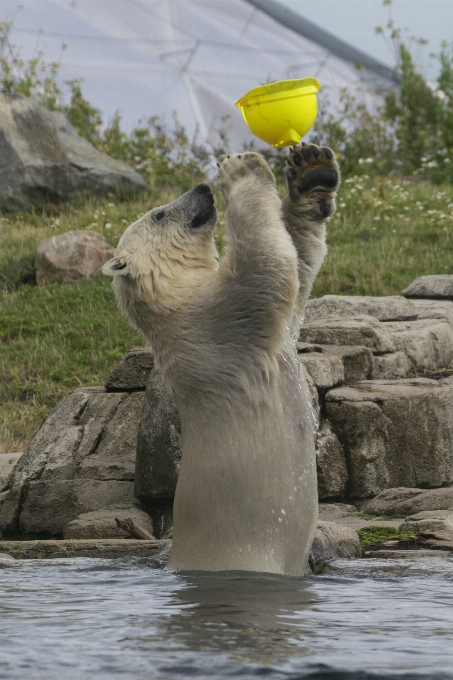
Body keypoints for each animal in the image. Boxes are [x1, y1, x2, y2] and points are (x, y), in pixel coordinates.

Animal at [102, 145, 336, 572]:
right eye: (159, 214)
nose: (202, 189)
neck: (172, 301)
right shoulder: (218, 323)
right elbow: (267, 264)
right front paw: (242, 168)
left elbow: (299, 264)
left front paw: (311, 172)